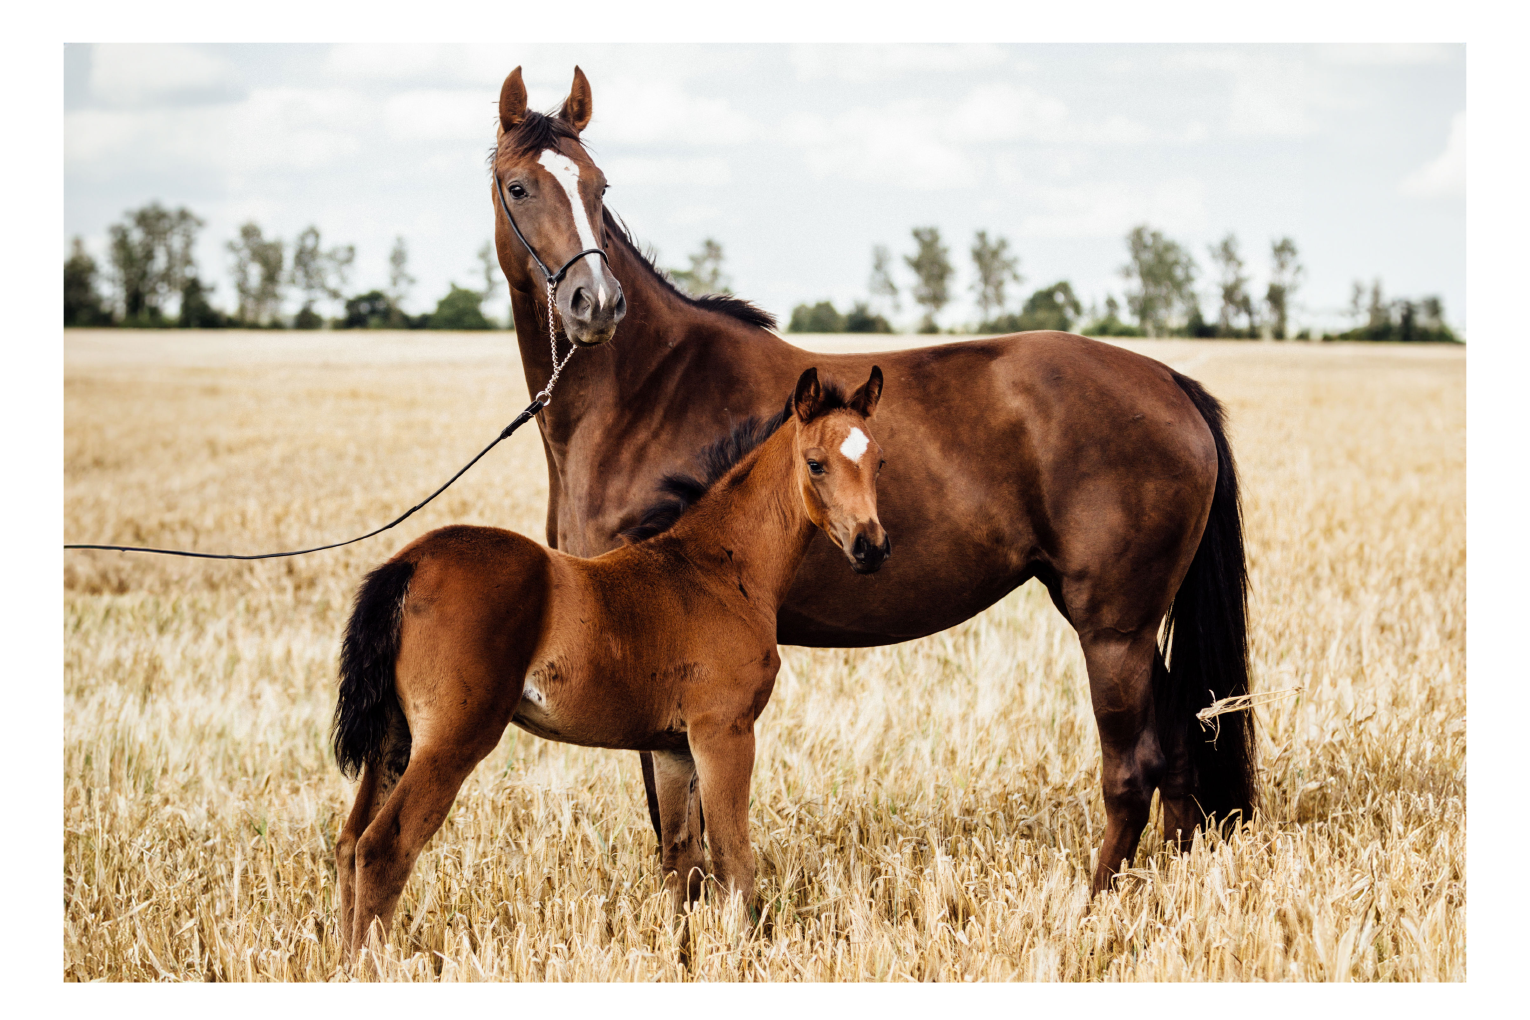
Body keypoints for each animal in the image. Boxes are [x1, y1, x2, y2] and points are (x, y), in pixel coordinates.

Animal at [328, 367, 893, 960]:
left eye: (879, 462)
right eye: (816, 463)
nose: (871, 547)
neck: (719, 569)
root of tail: (408, 562)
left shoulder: (672, 748)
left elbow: (681, 860)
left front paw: (681, 956)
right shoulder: (724, 730)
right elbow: (733, 858)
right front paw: (741, 956)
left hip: (394, 736)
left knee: (348, 842)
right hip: (452, 739)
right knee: (384, 847)